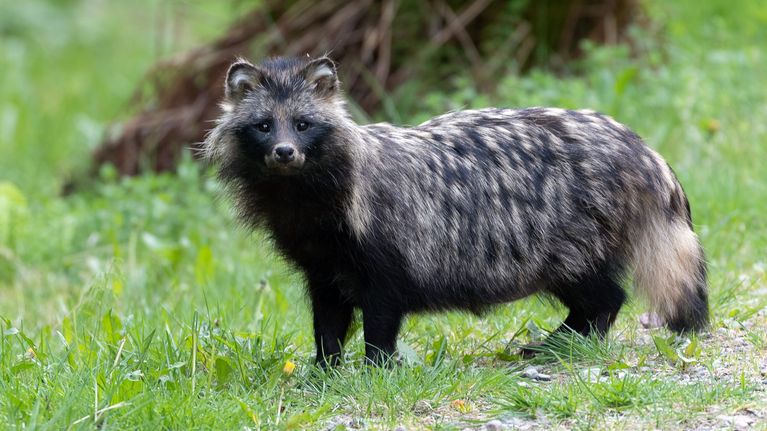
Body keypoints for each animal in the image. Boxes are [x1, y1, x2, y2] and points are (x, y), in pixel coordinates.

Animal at [203, 56, 709, 366]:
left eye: (304, 123)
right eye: (263, 125)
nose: (284, 152)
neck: (312, 206)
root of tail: (643, 150)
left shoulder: (388, 255)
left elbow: (380, 322)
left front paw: (374, 370)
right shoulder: (322, 267)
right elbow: (326, 326)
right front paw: (323, 372)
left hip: (567, 242)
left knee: (606, 297)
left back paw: (567, 343)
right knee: (596, 299)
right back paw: (559, 341)